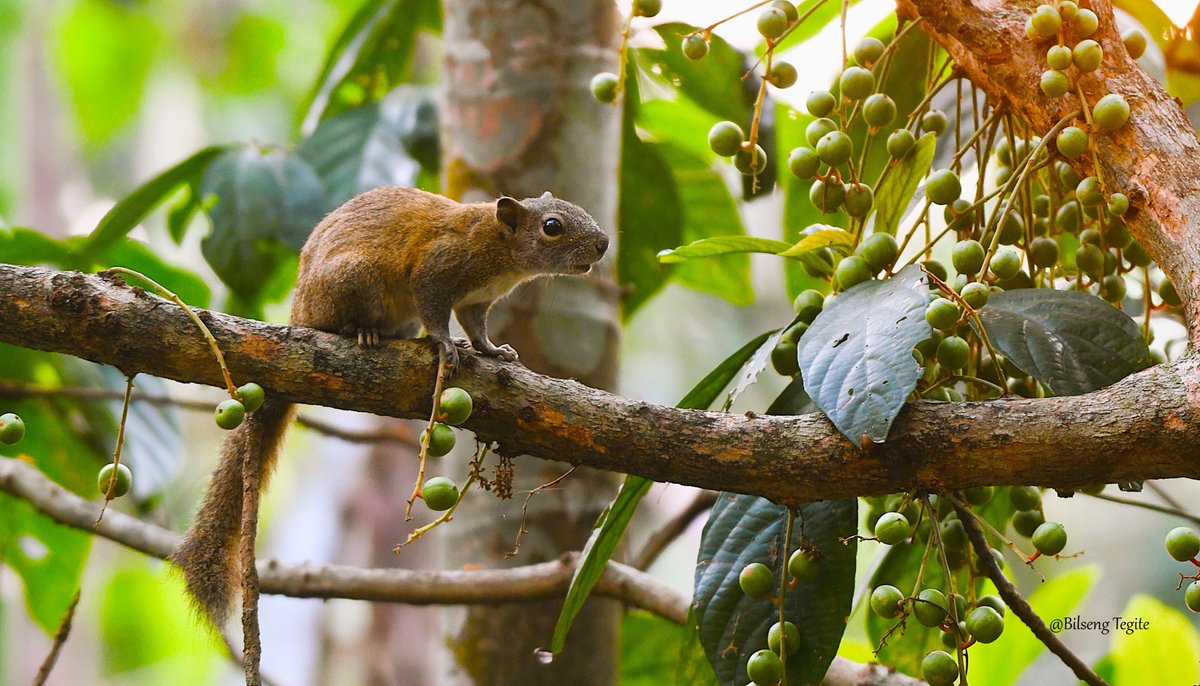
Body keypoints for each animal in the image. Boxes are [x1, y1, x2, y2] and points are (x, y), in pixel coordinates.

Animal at [171, 186, 609, 627]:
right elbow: (435, 310)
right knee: (335, 323)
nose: (604, 244)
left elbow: (476, 329)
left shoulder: (476, 301)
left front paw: (491, 350)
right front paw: (446, 344)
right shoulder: (438, 269)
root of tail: (302, 307)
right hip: (356, 280)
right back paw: (360, 330)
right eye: (552, 226)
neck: (501, 248)